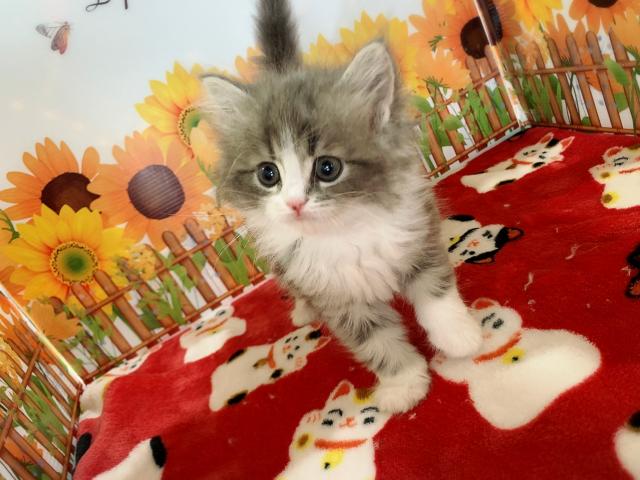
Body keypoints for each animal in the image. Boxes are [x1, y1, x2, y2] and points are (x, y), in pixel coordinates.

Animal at [199, 0, 482, 413]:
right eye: (268, 174)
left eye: (327, 168)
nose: (295, 203)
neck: (346, 230)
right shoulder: (335, 297)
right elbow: (375, 341)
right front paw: (404, 384)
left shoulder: (418, 233)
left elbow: (436, 293)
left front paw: (460, 337)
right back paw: (303, 310)